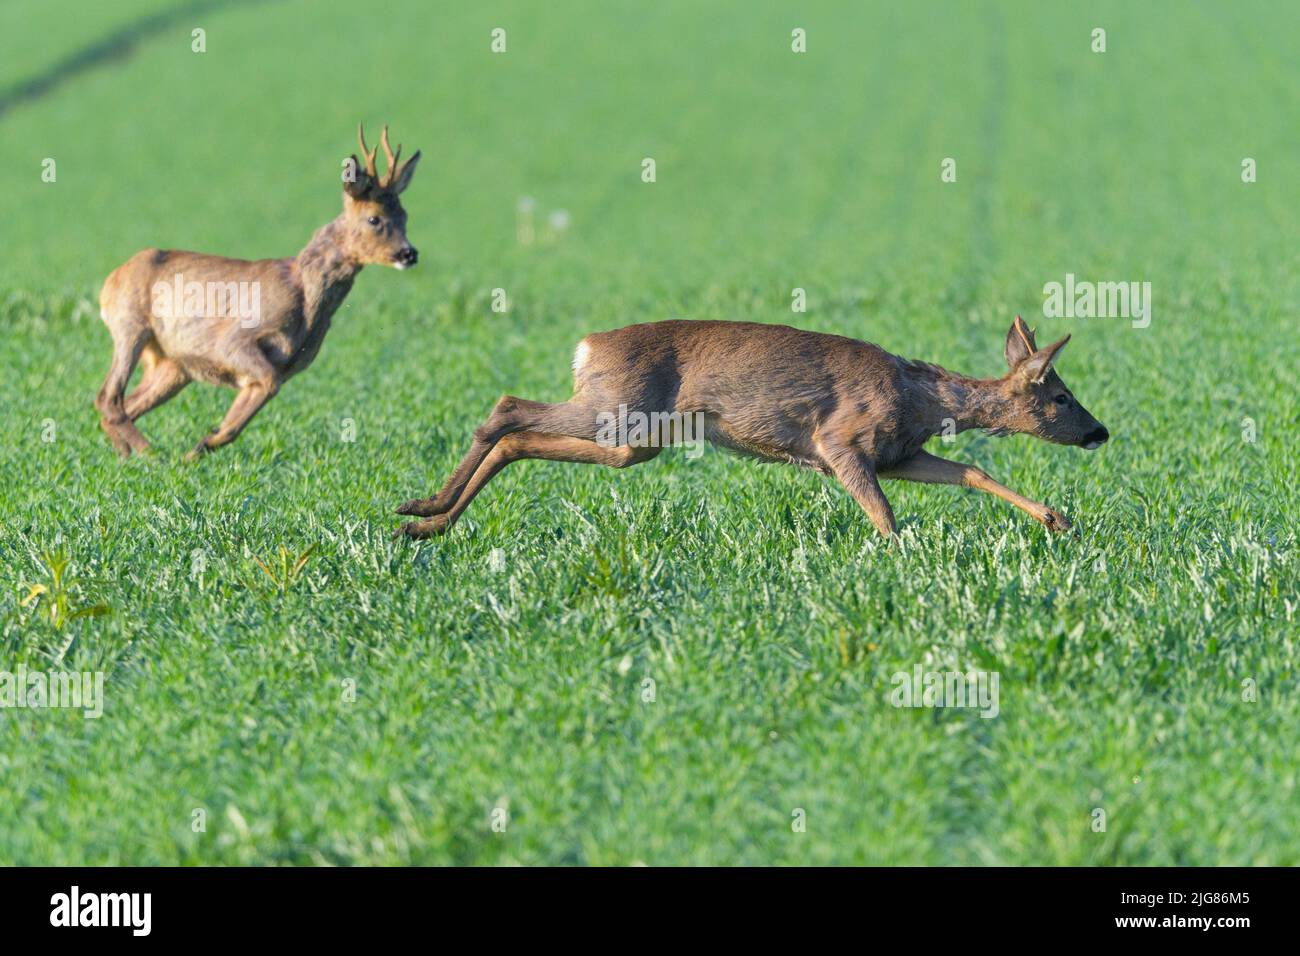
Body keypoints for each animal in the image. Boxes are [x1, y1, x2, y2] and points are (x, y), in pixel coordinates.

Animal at [96, 125, 421, 463]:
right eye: (374, 218)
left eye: (405, 216)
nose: (409, 253)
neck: (306, 299)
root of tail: (109, 282)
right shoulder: (235, 338)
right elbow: (266, 383)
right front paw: (199, 447)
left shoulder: (288, 366)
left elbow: (251, 405)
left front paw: (202, 445)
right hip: (130, 326)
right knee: (108, 398)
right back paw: (151, 455)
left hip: (172, 364)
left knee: (124, 405)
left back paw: (128, 456)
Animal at [395, 314, 1107, 538]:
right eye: (1062, 396)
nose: (1100, 432)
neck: (921, 400)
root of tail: (585, 346)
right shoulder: (839, 440)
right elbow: (883, 514)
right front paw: (901, 561)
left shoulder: (898, 453)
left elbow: (969, 469)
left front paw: (1055, 518)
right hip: (614, 410)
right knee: (507, 408)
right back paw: (423, 510)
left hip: (637, 440)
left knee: (519, 434)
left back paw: (425, 522)